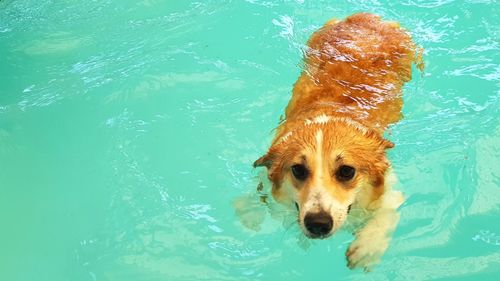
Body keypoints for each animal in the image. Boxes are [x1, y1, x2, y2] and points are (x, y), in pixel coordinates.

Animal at [254, 12, 422, 270]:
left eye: (346, 171)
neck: (328, 118)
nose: (318, 223)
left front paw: (367, 248)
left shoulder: (390, 189)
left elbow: (387, 211)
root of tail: (366, 16)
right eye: (298, 170)